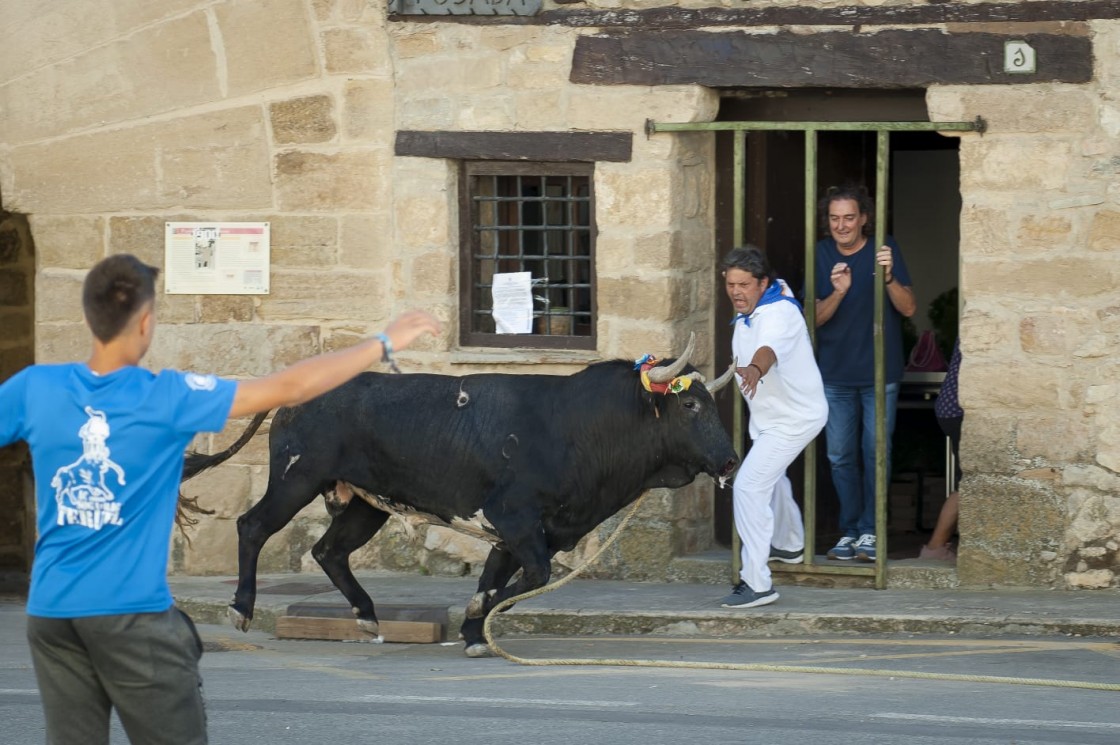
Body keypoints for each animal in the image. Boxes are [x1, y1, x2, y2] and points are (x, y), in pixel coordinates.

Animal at [183, 345, 739, 654]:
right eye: (690, 405)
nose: (731, 460)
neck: (578, 427)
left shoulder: (521, 534)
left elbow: (498, 578)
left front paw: (474, 632)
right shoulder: (515, 518)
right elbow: (533, 577)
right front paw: (477, 616)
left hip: (364, 503)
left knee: (329, 551)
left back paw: (367, 615)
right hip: (295, 480)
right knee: (253, 527)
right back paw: (241, 609)